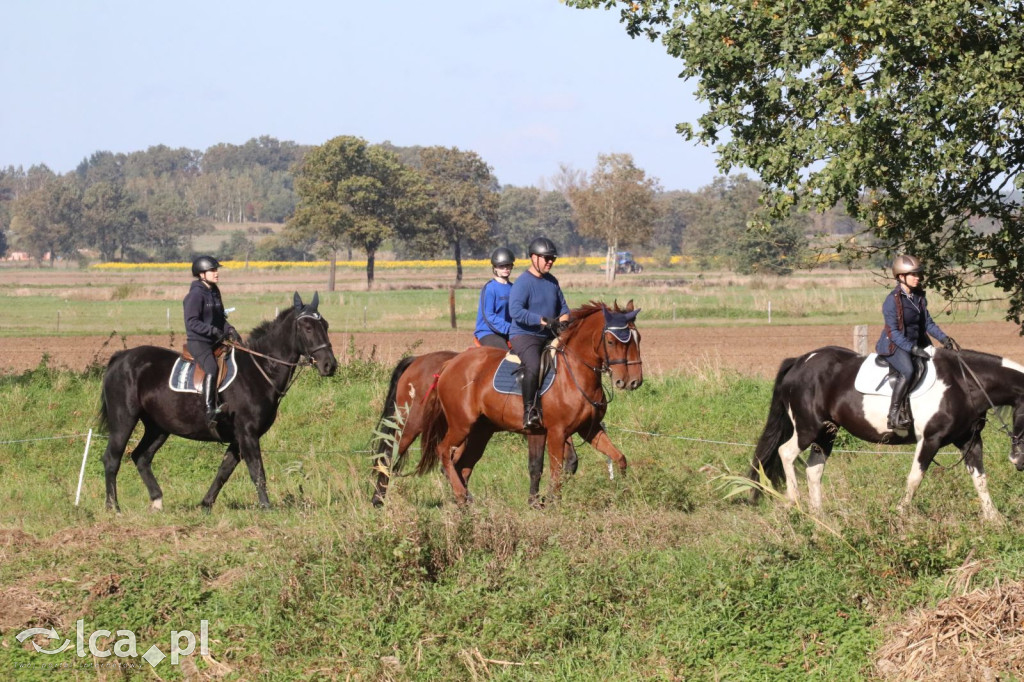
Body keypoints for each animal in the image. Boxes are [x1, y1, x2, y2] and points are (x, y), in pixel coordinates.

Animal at [96, 292, 335, 509]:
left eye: (325, 325)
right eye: (308, 328)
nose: (329, 365)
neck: (260, 370)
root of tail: (120, 358)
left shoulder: (238, 438)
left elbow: (224, 471)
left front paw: (206, 504)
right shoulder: (247, 433)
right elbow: (257, 470)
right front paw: (266, 507)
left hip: (158, 427)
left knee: (141, 457)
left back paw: (156, 500)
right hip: (124, 420)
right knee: (112, 459)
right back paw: (113, 507)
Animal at [413, 301, 643, 503]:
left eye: (638, 339)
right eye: (611, 341)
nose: (632, 381)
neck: (574, 374)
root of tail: (450, 364)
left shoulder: (589, 429)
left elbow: (619, 458)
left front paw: (624, 491)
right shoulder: (557, 432)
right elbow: (556, 472)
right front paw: (552, 503)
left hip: (480, 432)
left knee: (463, 465)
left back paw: (466, 503)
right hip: (461, 425)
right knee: (444, 452)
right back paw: (462, 497)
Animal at [749, 346, 1024, 520]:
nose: (1018, 462)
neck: (964, 382)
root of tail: (799, 362)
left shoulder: (969, 440)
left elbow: (980, 479)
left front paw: (994, 520)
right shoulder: (930, 440)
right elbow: (915, 478)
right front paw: (900, 514)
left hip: (827, 433)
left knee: (814, 469)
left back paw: (819, 516)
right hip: (808, 428)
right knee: (786, 452)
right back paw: (794, 502)